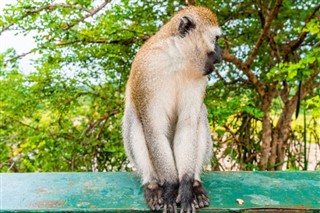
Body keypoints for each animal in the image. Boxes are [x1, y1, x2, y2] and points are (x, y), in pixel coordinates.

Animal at [122, 5, 222, 212]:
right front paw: (170, 188)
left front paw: (185, 187)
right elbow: (154, 129)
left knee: (200, 115)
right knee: (134, 118)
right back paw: (152, 184)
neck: (177, 59)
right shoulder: (148, 71)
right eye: (216, 39)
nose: (220, 51)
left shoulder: (201, 76)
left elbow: (188, 126)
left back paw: (195, 184)